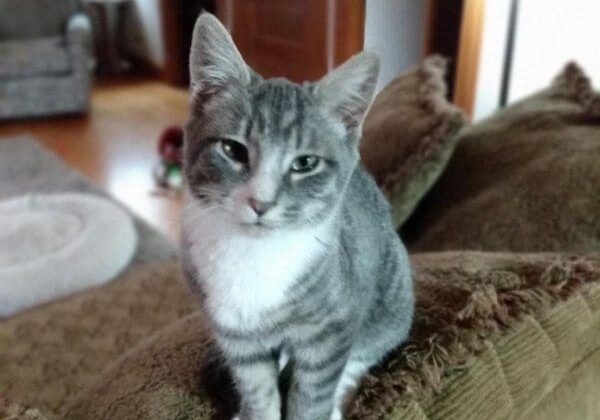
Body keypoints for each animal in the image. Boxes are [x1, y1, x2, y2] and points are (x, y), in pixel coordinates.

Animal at [183, 13, 414, 420]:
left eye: (305, 163)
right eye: (232, 150)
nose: (260, 202)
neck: (254, 255)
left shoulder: (332, 331)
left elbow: (313, 393)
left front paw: (317, 407)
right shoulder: (237, 337)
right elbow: (258, 389)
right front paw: (254, 410)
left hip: (392, 297)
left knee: (362, 355)